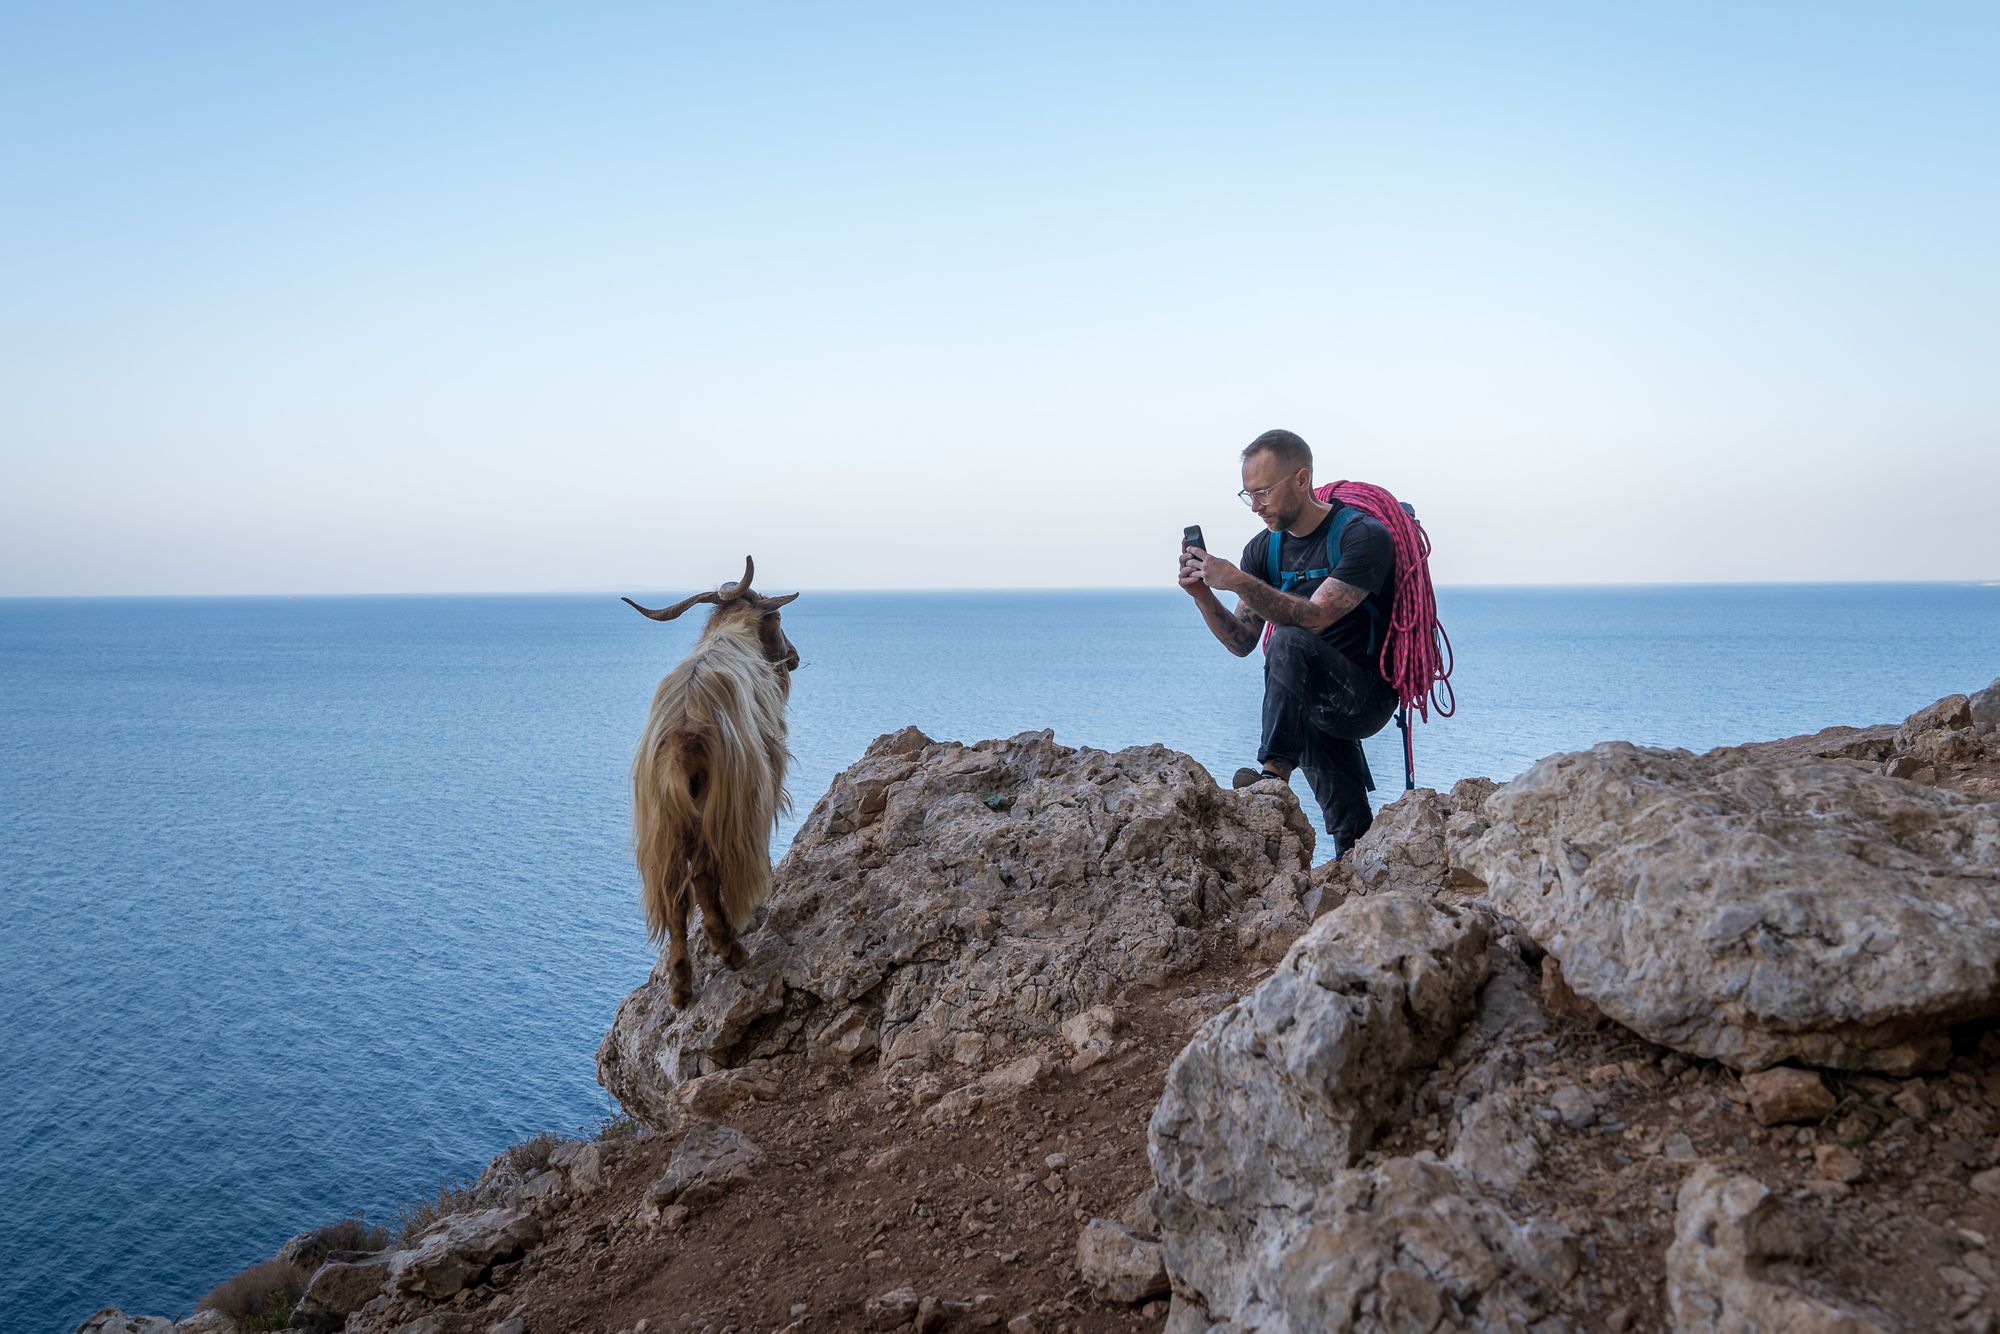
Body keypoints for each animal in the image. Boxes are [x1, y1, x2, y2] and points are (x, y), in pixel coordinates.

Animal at [632, 560, 804, 1008]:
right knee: (705, 878)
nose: (795, 658)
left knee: (675, 895)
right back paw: (732, 951)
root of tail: (681, 744)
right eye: (778, 619)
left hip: (665, 824)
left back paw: (680, 987)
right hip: (721, 807)